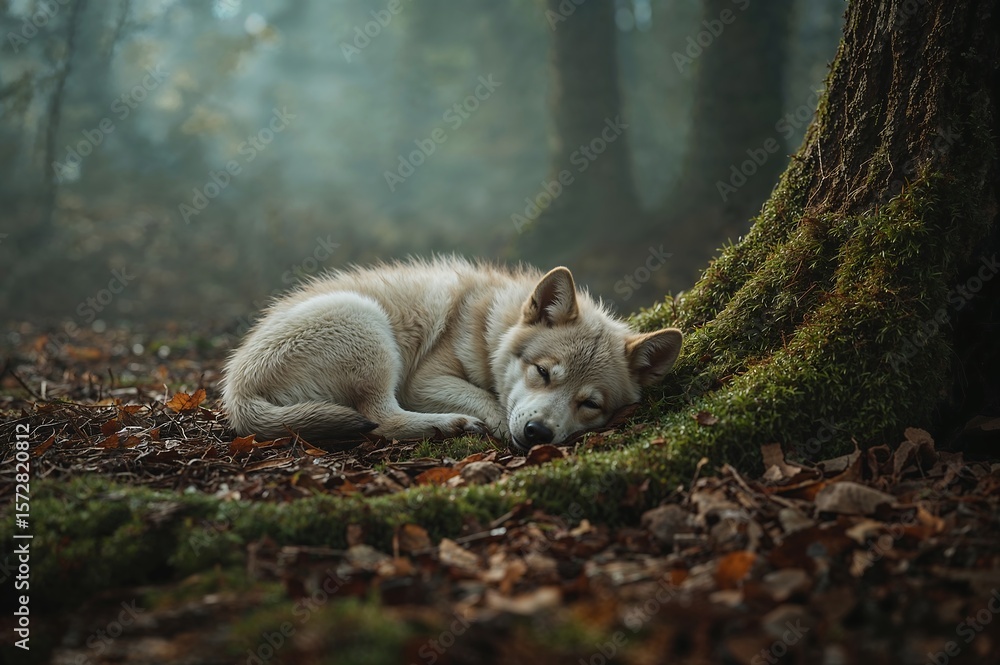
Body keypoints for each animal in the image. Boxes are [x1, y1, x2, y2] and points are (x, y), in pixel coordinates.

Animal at [221, 258, 682, 452]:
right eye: (542, 372)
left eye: (590, 404)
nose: (538, 433)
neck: (486, 326)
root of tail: (236, 390)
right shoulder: (424, 381)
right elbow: (491, 404)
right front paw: (494, 426)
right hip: (366, 323)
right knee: (382, 420)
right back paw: (447, 425)